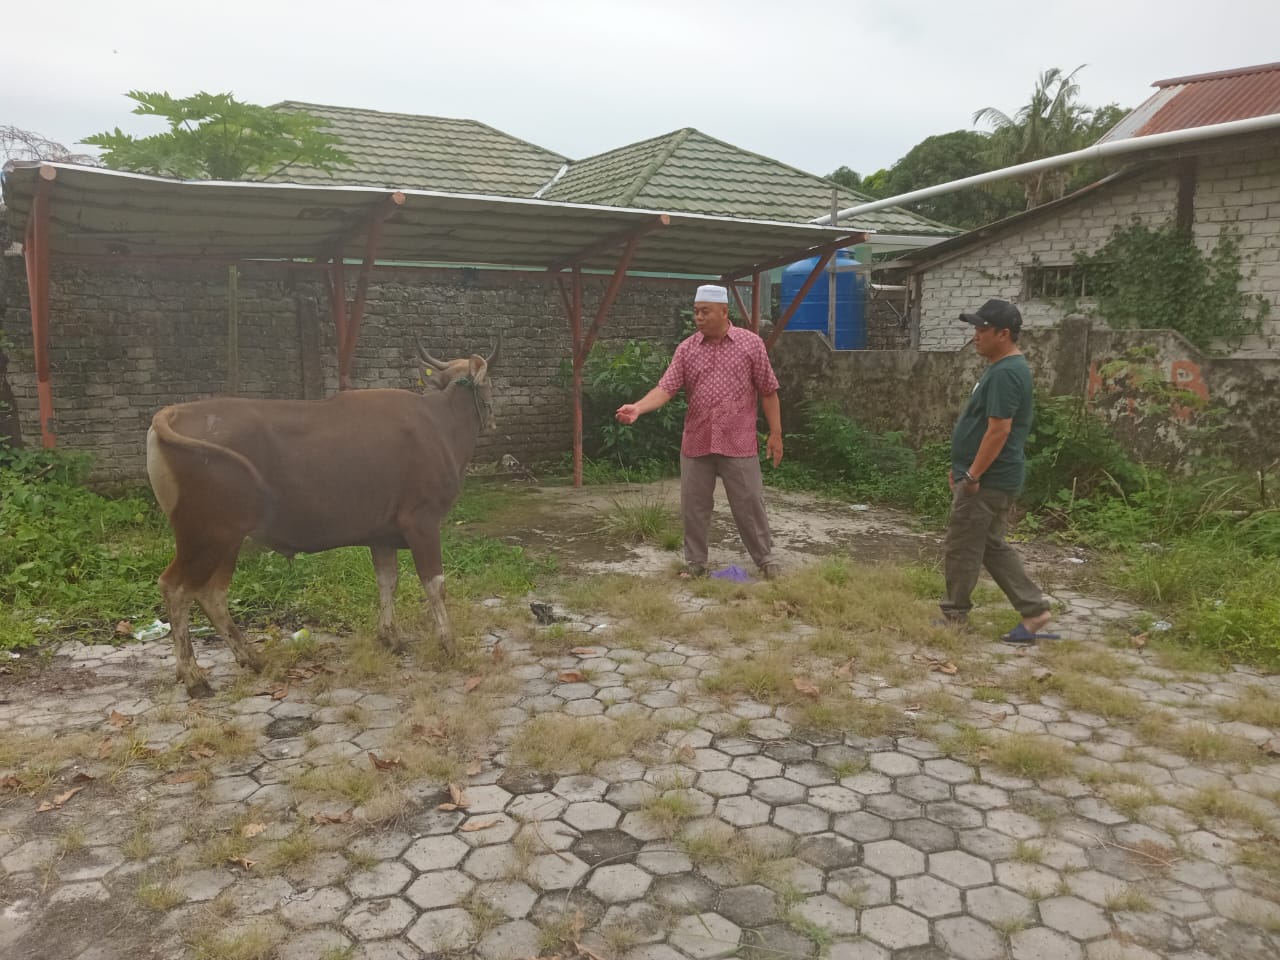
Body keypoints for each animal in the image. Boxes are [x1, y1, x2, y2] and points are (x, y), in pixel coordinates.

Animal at [144, 345, 494, 701]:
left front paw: (390, 637)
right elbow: (435, 585)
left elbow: (387, 581)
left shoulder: (382, 536)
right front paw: (450, 644)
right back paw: (194, 676)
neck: (440, 424)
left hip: (228, 538)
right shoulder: (422, 522)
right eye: (489, 382)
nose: (492, 421)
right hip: (206, 536)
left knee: (211, 594)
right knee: (177, 589)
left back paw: (251, 658)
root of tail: (173, 413)